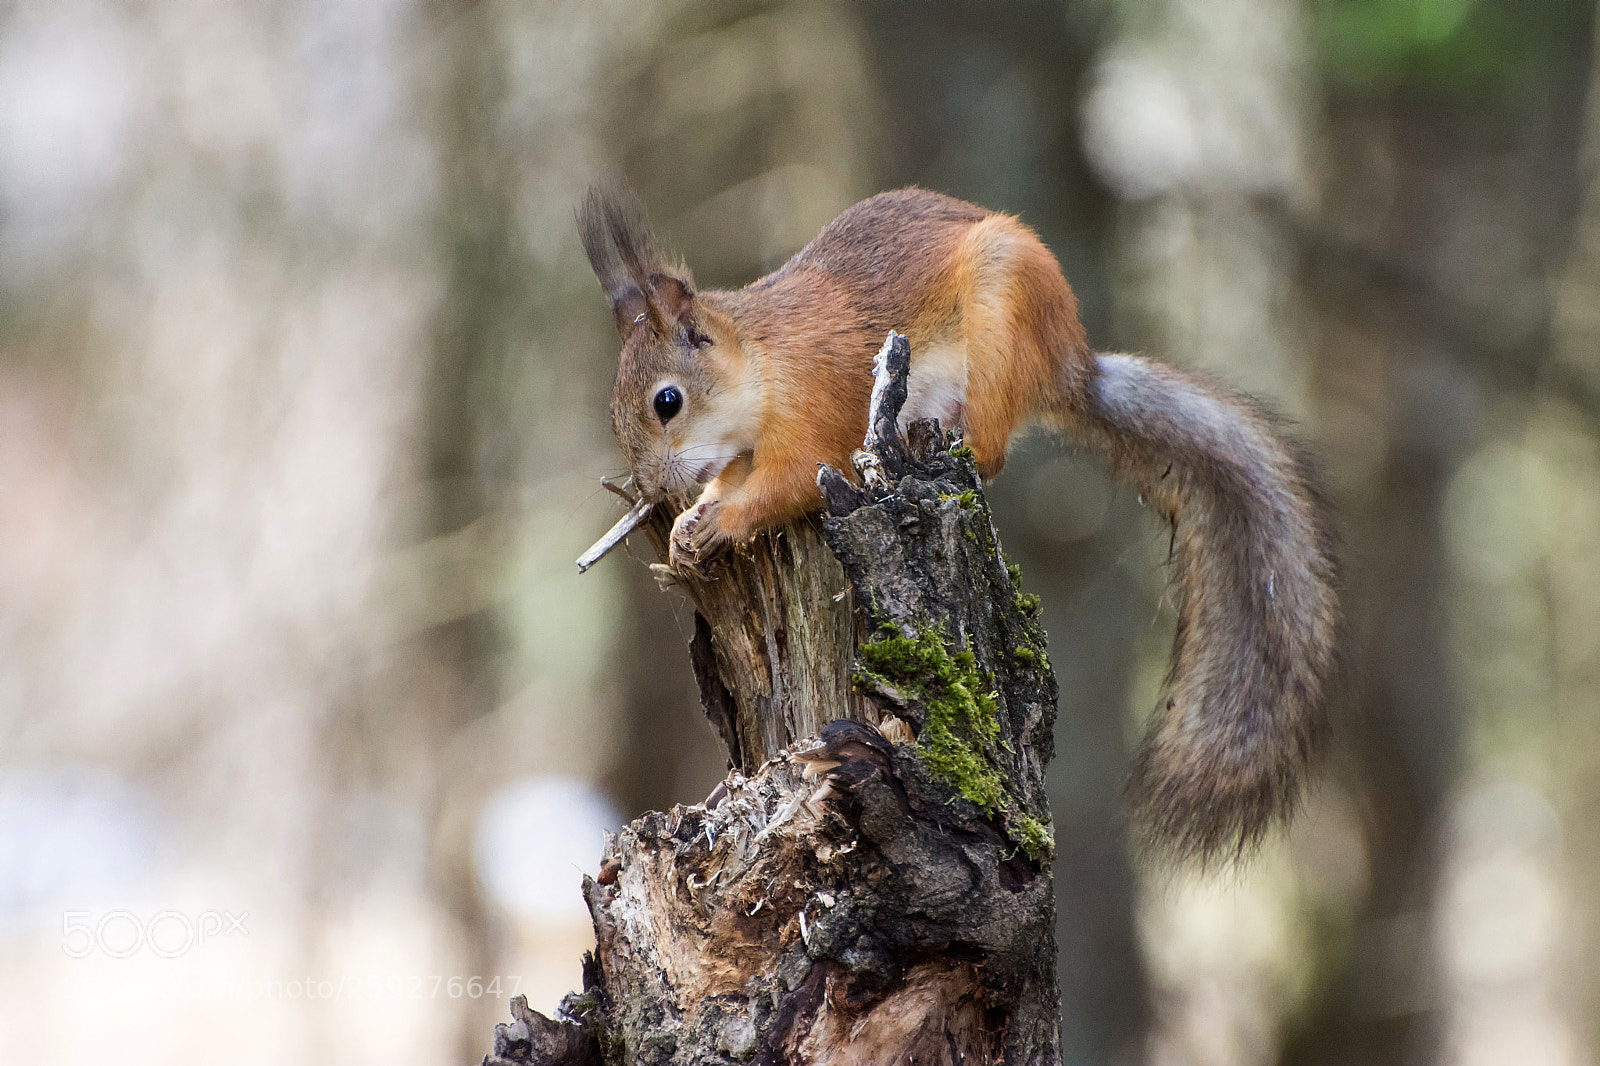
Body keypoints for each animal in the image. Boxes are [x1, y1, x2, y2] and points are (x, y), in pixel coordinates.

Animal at [579, 185, 1340, 861]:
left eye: (668, 402)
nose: (653, 489)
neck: (762, 358)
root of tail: (1073, 368)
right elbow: (734, 479)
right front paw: (692, 521)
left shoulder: (816, 411)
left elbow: (787, 484)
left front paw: (718, 522)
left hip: (1002, 321)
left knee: (993, 446)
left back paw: (945, 429)